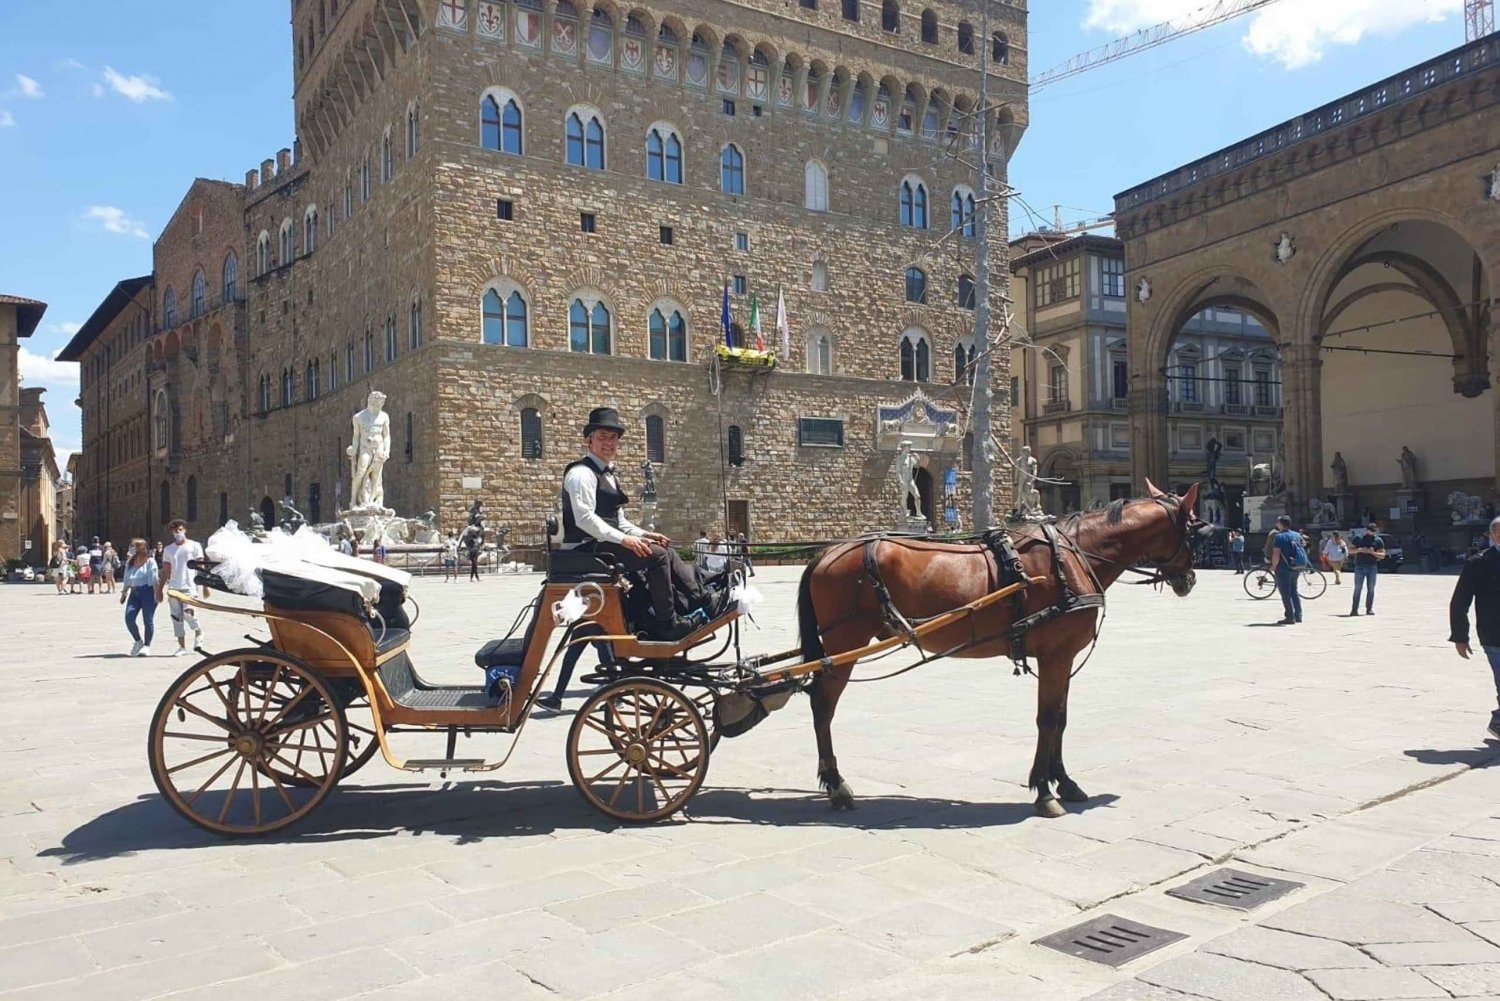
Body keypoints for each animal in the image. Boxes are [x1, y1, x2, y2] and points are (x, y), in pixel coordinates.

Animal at [798, 480, 1206, 816]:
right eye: (1193, 531)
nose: (1189, 580)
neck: (1074, 556)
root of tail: (825, 554)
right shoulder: (1056, 656)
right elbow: (1048, 719)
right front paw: (1044, 790)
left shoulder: (1061, 658)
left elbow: (1061, 717)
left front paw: (1065, 782)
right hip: (845, 642)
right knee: (822, 704)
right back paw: (836, 785)